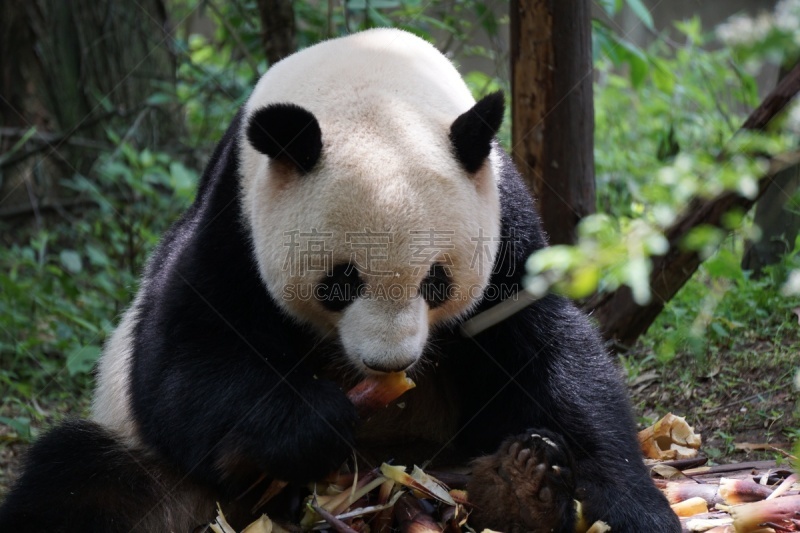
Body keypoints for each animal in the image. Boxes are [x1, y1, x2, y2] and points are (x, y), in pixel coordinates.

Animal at [0, 29, 680, 532]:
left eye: (436, 282)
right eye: (340, 282)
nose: (388, 364)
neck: (375, 90)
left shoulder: (506, 215)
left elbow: (550, 352)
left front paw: (633, 507)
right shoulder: (232, 222)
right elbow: (182, 364)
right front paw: (313, 419)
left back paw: (522, 486)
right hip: (168, 471)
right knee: (88, 481)